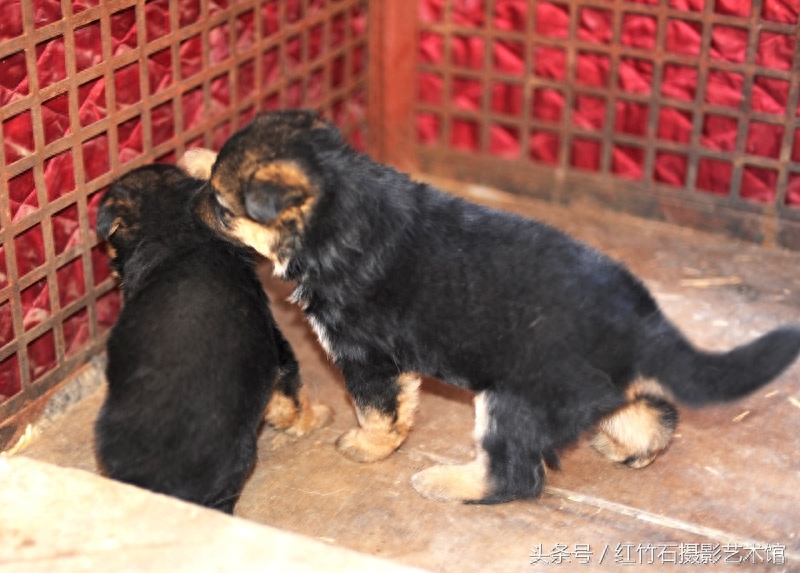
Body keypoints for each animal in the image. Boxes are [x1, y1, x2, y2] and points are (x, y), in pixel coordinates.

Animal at [186, 111, 800, 504]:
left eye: (223, 207)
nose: (193, 206)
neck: (340, 203)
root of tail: (636, 321)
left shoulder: (365, 358)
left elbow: (378, 412)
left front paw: (366, 448)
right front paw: (195, 156)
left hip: (512, 402)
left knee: (516, 477)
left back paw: (446, 484)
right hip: (584, 388)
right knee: (651, 410)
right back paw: (633, 447)